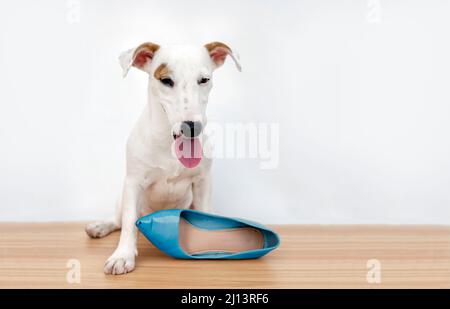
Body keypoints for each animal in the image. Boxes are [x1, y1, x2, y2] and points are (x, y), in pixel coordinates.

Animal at [84, 41, 239, 274]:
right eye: (166, 80)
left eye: (204, 80)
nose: (192, 127)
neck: (169, 144)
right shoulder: (133, 183)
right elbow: (128, 222)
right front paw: (123, 255)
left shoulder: (202, 183)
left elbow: (205, 214)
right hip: (122, 197)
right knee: (119, 219)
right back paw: (100, 226)